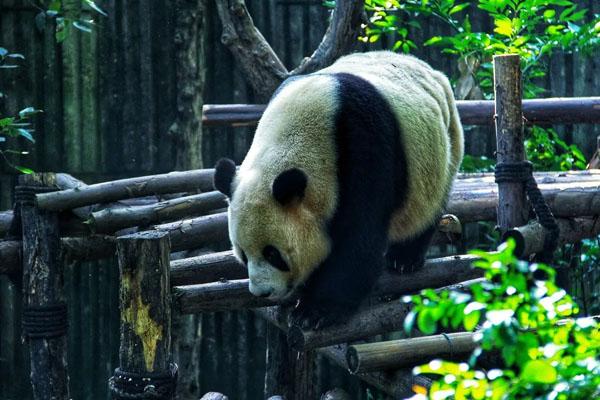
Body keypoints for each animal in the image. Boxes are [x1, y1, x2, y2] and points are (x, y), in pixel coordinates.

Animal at [212, 51, 464, 330]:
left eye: (272, 254)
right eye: (243, 255)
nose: (262, 292)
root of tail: (428, 69)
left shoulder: (365, 145)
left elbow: (359, 238)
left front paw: (316, 311)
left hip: (441, 148)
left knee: (425, 210)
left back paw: (404, 260)